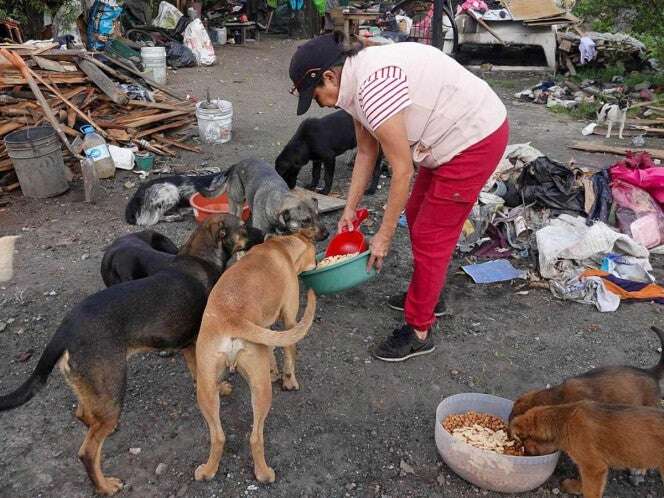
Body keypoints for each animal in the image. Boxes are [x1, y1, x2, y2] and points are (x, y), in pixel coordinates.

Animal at [0, 214, 264, 494]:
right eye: (244, 226)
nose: (264, 233)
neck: (201, 256)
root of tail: (65, 328)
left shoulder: (187, 345)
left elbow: (196, 373)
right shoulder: (198, 342)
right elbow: (203, 373)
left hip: (95, 389)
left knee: (83, 414)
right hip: (112, 384)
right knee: (87, 451)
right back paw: (105, 486)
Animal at [195, 232, 316, 482]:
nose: (318, 262)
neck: (279, 247)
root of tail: (232, 319)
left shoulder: (266, 329)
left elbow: (271, 352)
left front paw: (274, 371)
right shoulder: (289, 320)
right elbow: (290, 353)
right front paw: (289, 381)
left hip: (206, 388)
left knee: (218, 436)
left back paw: (208, 471)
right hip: (260, 390)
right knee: (255, 437)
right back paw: (264, 473)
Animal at [510, 400, 664, 498]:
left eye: (524, 445)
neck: (565, 420)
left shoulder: (594, 467)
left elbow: (591, 489)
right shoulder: (589, 468)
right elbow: (584, 481)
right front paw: (577, 487)